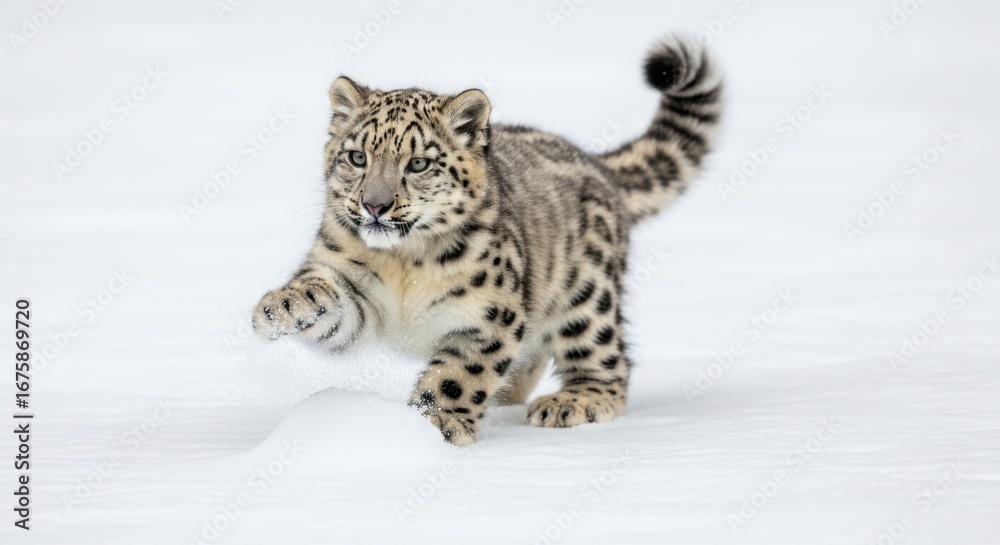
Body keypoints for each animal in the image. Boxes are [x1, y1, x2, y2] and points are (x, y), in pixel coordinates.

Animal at [252, 36, 722, 445]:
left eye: (418, 163)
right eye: (357, 157)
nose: (375, 206)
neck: (404, 262)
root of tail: (596, 163)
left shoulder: (491, 316)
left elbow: (458, 377)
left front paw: (436, 424)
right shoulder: (355, 289)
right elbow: (330, 302)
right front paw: (281, 307)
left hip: (588, 297)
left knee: (607, 360)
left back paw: (571, 402)